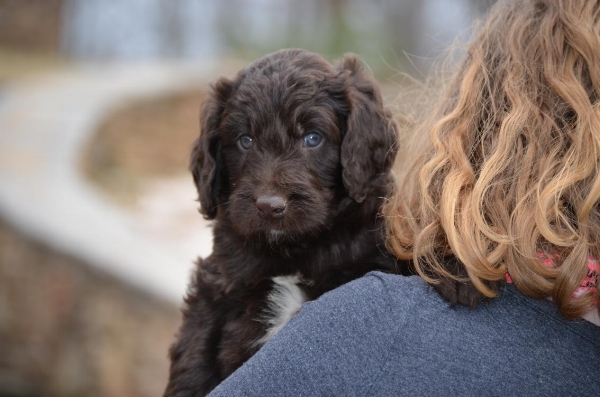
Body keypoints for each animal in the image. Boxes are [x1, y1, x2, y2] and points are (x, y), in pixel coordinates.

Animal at [162, 48, 400, 394]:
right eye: (245, 140)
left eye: (312, 138)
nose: (269, 206)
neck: (292, 251)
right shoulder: (215, 287)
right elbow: (194, 358)